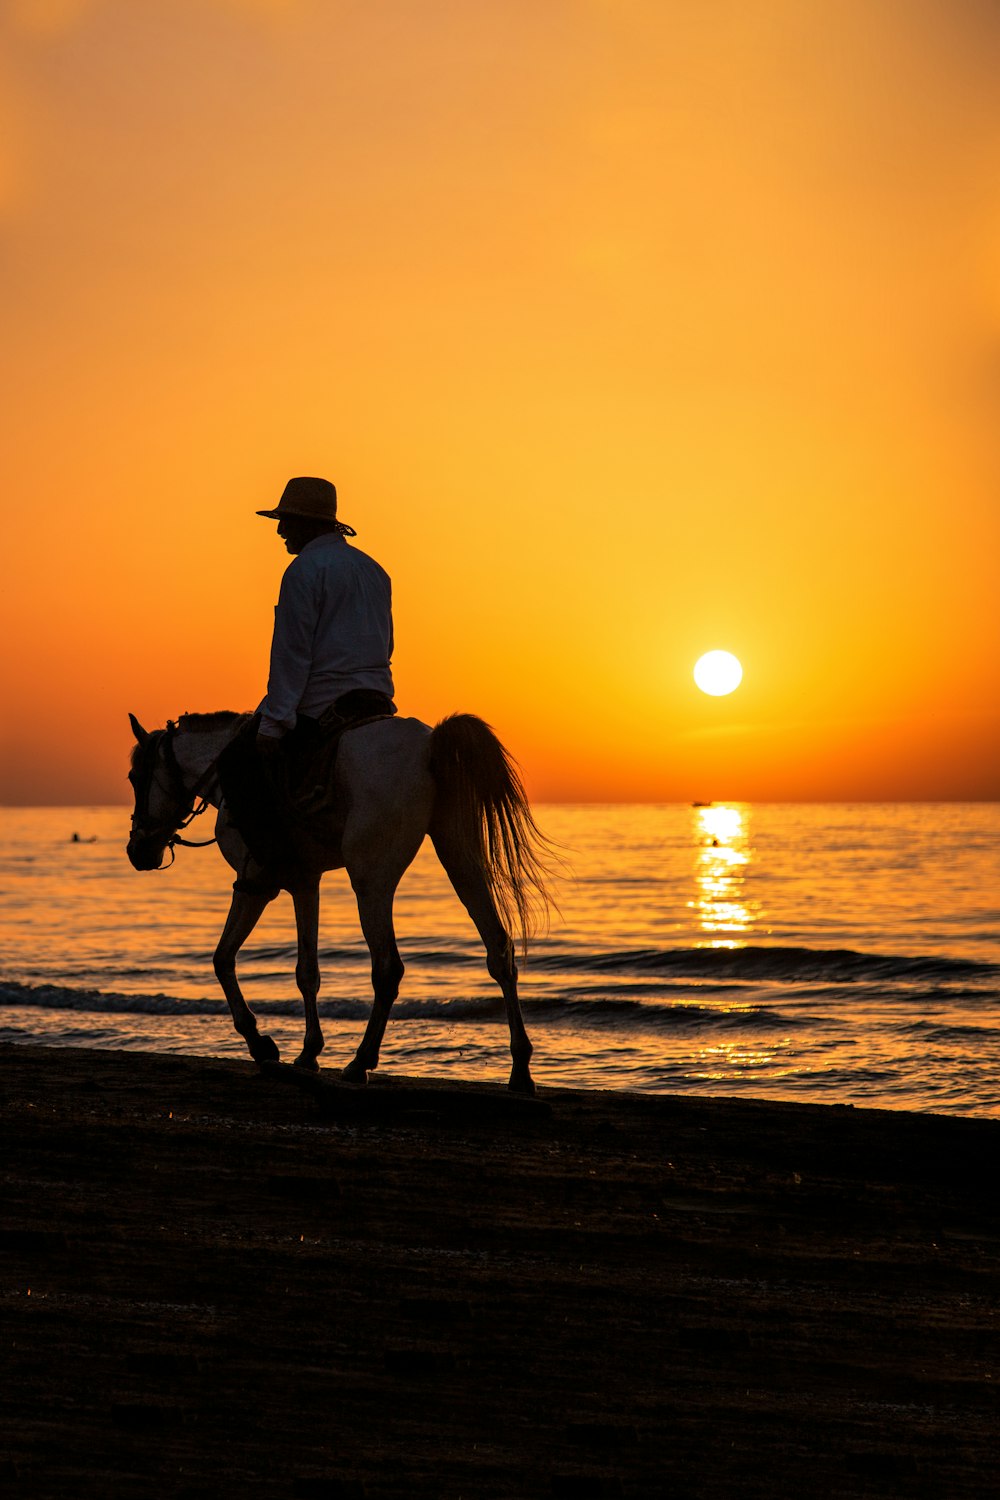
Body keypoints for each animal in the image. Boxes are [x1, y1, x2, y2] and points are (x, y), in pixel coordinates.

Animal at [125, 708, 551, 1098]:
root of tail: (431, 742)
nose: (137, 851)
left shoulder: (254, 885)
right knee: (499, 950)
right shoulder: (304, 882)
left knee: (388, 968)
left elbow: (222, 959)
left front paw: (261, 1043)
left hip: (370, 879)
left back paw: (361, 1062)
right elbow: (307, 971)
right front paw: (308, 1053)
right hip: (461, 856)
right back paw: (520, 1069)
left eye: (134, 777)